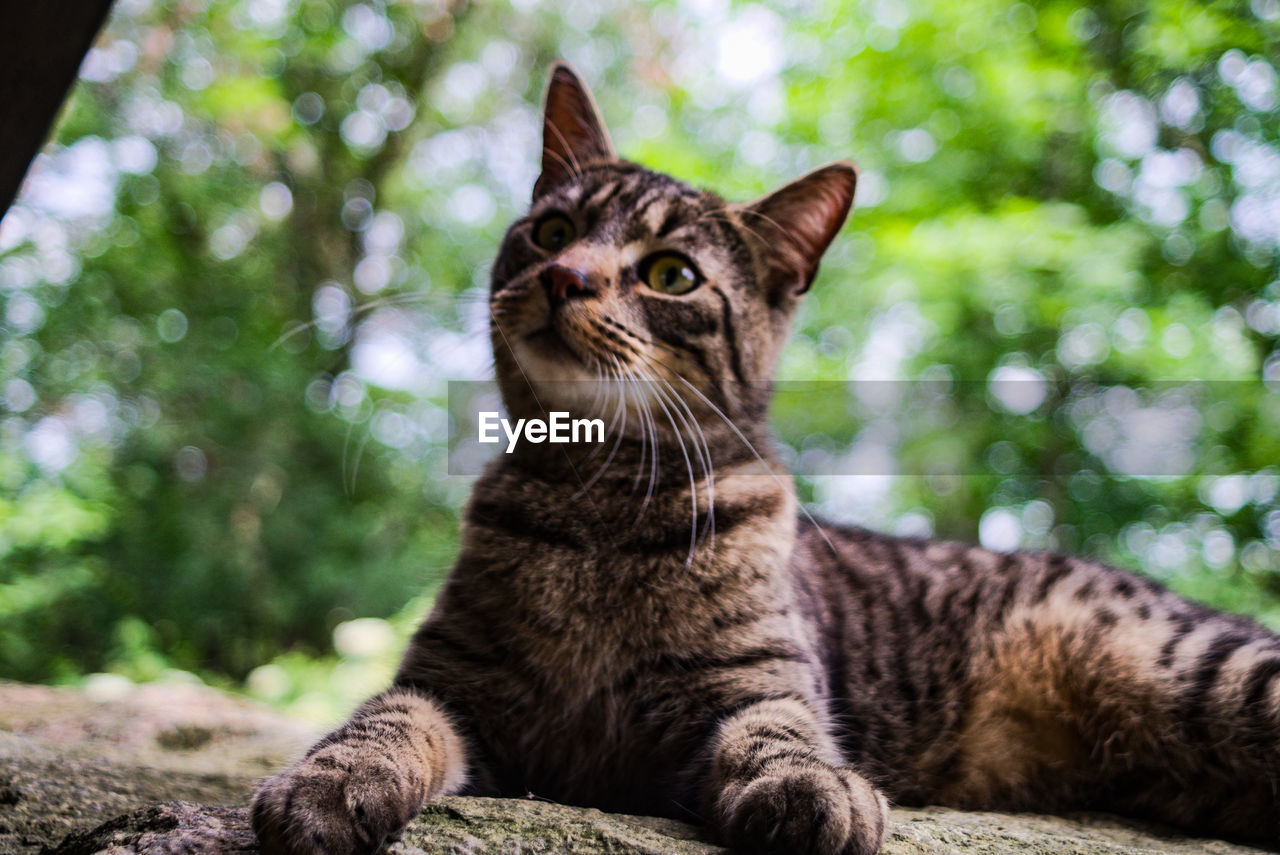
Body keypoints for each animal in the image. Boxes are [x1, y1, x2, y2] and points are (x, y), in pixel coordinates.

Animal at [249, 63, 1280, 849]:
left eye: (671, 274)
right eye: (551, 231)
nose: (566, 274)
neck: (599, 500)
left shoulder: (757, 683)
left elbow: (780, 732)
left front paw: (809, 788)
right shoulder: (449, 681)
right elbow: (384, 717)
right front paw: (330, 775)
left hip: (1207, 673)